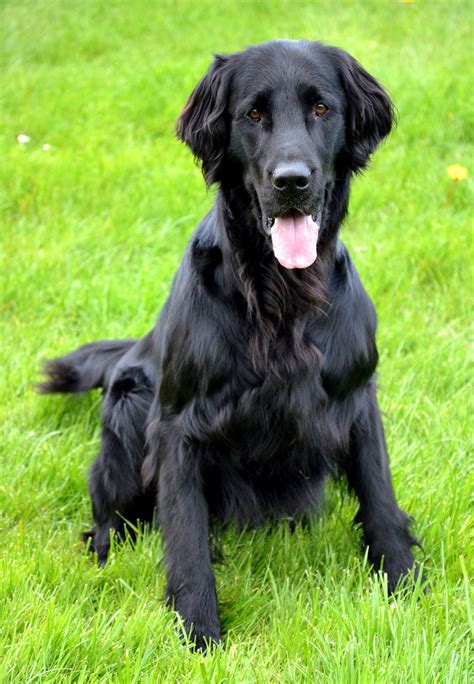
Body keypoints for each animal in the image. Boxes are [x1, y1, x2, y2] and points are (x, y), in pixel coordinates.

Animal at [39, 40, 418, 648]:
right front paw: (198, 632)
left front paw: (406, 585)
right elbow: (186, 534)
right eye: (254, 114)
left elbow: (381, 498)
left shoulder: (357, 396)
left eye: (321, 108)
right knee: (106, 519)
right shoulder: (178, 425)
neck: (283, 295)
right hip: (129, 405)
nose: (292, 181)